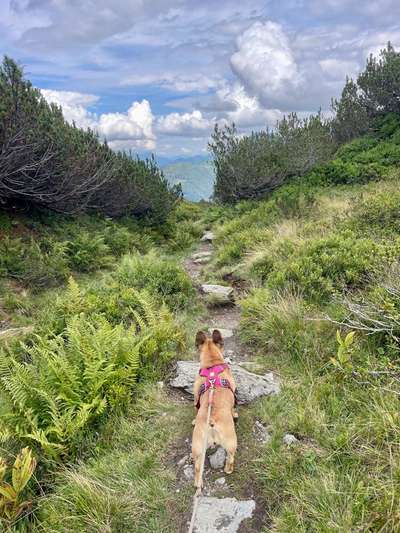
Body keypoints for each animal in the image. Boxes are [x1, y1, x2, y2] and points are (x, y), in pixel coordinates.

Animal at [191, 330, 236, 488]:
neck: (212, 364)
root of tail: (211, 422)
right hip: (231, 442)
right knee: (231, 457)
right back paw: (229, 469)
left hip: (198, 447)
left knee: (197, 467)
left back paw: (197, 483)